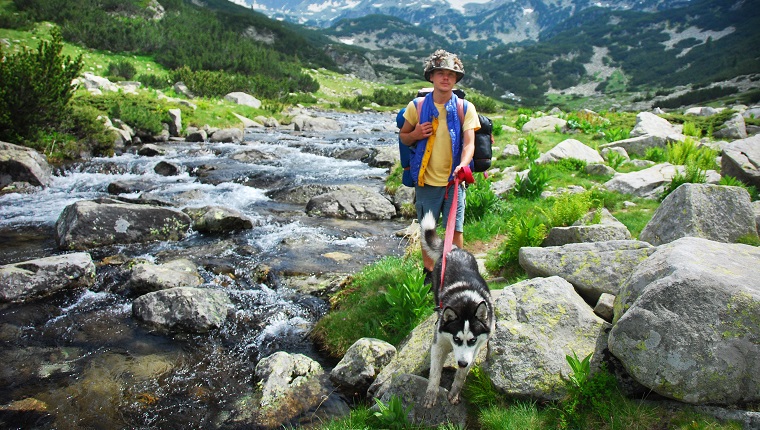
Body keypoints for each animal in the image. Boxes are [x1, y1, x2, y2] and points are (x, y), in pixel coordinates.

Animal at [418, 212, 496, 406]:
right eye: (456, 338)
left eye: (472, 340)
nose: (460, 363)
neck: (466, 302)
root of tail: (453, 249)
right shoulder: (439, 343)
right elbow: (435, 373)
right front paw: (431, 393)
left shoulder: (475, 349)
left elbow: (462, 375)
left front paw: (454, 391)